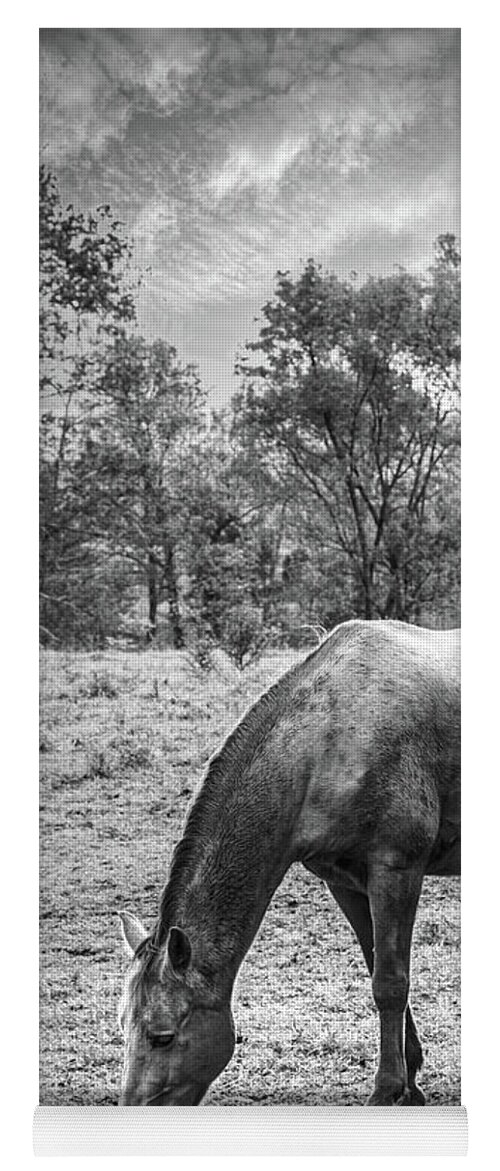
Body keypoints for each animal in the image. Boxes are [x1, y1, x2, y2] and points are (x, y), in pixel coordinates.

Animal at [117, 622, 461, 1105]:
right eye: (121, 1028)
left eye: (162, 1037)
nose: (129, 1106)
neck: (330, 741)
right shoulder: (346, 881)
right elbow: (377, 967)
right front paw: (410, 1083)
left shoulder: (397, 871)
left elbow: (391, 983)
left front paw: (387, 1090)